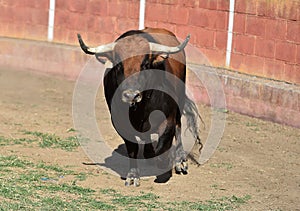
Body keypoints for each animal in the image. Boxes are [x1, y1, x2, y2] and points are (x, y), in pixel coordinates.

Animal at [77, 26, 202, 186]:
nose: (131, 95)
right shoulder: (121, 123)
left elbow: (163, 146)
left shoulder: (168, 118)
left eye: (145, 65)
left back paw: (180, 161)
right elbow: (133, 148)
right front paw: (132, 175)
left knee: (178, 127)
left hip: (179, 101)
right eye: (118, 65)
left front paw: (165, 163)